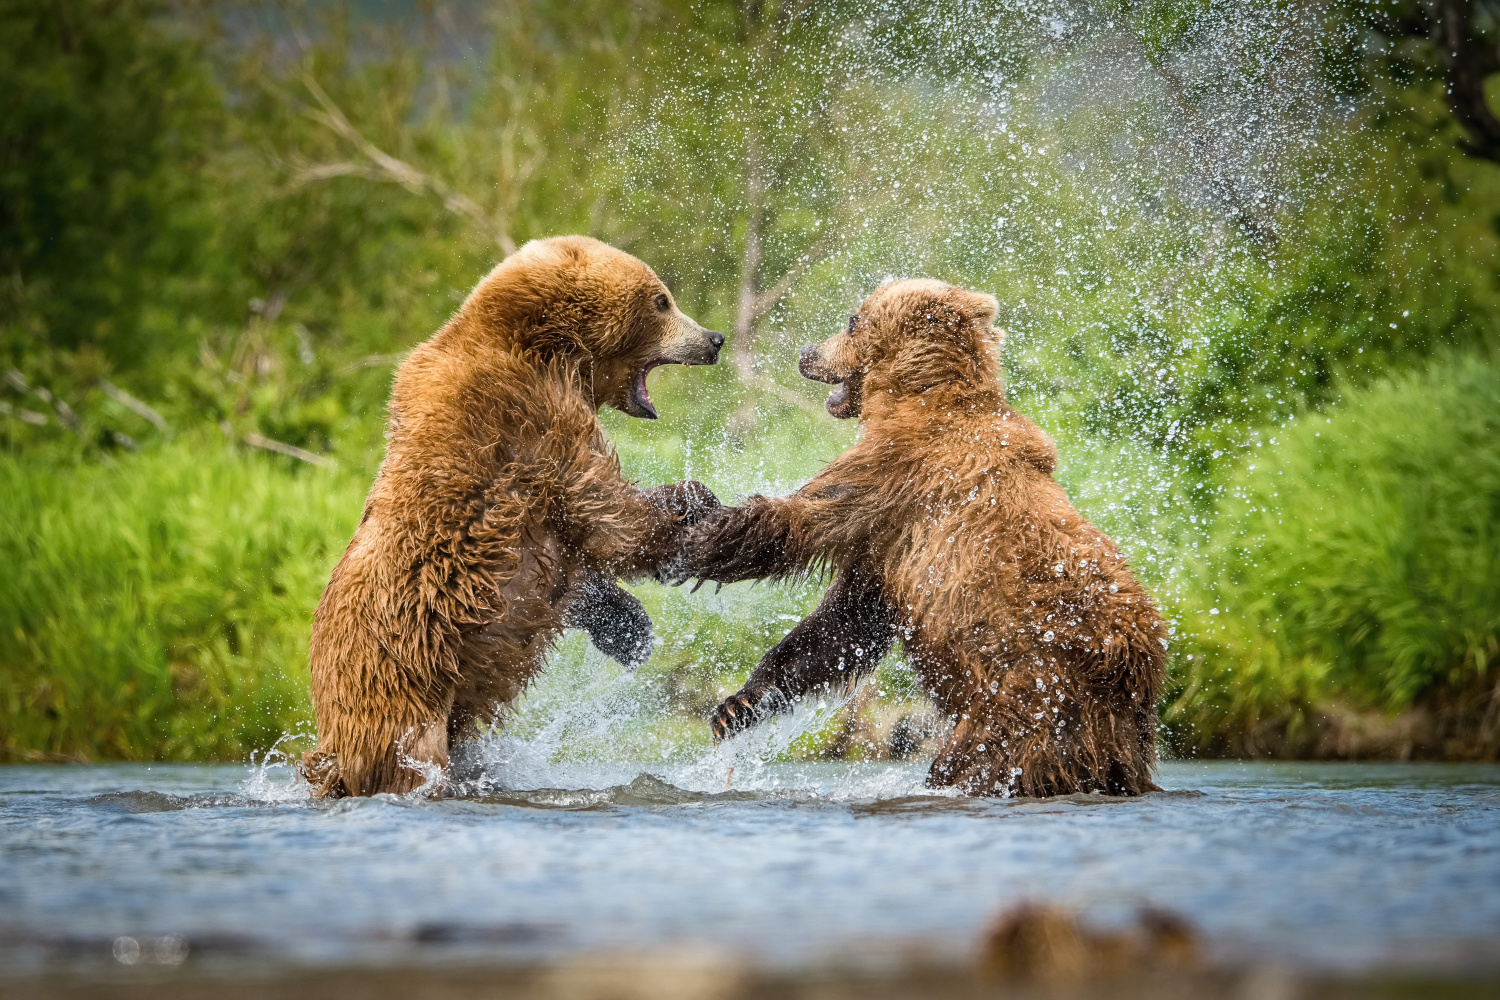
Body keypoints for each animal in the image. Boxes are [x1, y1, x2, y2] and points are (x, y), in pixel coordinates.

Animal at [301, 235, 723, 797]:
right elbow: (605, 513)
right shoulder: (533, 421)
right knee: (411, 755)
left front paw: (630, 627)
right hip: (400, 688)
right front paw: (693, 501)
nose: (714, 339)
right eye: (662, 300)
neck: (547, 348)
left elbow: (575, 564)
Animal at [672, 280, 1170, 797]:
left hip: (1033, 695)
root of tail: (1139, 672)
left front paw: (696, 532)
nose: (807, 353)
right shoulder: (890, 546)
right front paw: (736, 707)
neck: (919, 392)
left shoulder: (896, 474)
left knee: (978, 759)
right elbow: (843, 625)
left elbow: (798, 519)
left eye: (852, 320)